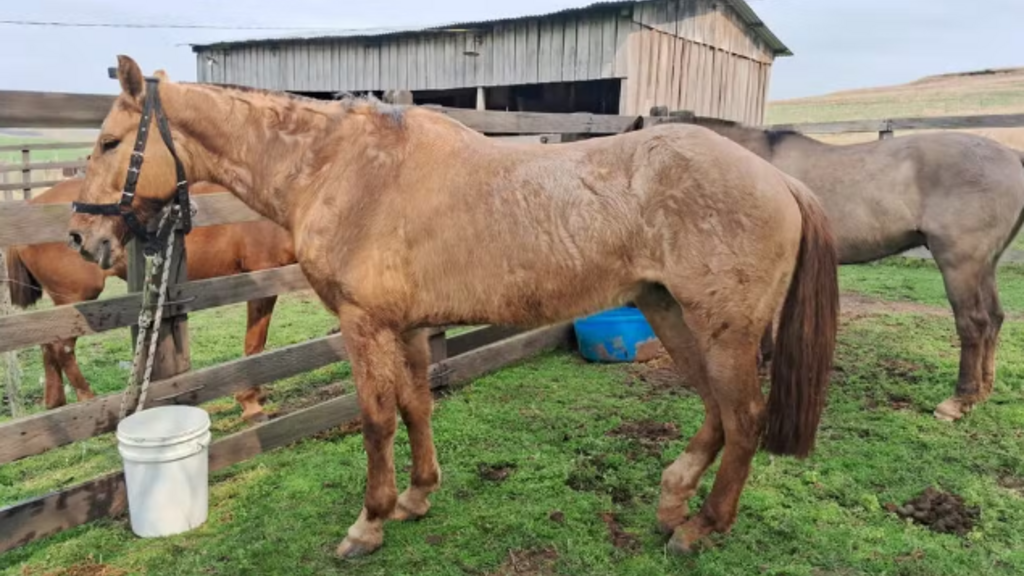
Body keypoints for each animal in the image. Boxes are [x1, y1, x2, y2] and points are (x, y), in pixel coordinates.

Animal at [7, 177, 296, 420]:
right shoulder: (262, 277)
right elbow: (254, 343)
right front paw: (250, 402)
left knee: (48, 344)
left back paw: (55, 402)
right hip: (75, 297)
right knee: (61, 348)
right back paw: (87, 398)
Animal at [64, 57, 835, 557]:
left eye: (109, 142)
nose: (82, 237)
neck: (339, 168)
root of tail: (779, 181)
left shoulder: (364, 325)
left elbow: (376, 420)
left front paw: (369, 523)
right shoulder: (405, 327)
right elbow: (415, 407)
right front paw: (418, 497)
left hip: (722, 328)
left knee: (745, 418)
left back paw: (702, 527)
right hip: (672, 314)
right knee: (717, 413)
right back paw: (673, 503)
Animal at [696, 116, 1024, 422]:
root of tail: (1011, 155)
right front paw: (764, 359)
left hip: (961, 264)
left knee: (974, 324)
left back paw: (959, 400)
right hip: (985, 265)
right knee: (994, 319)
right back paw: (983, 391)